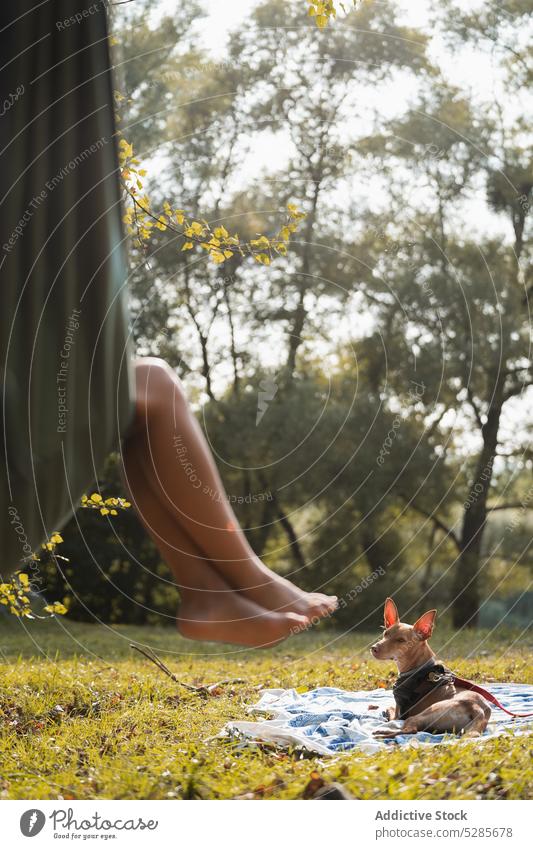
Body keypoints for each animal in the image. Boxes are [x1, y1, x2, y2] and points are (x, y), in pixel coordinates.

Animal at [370, 596, 486, 736]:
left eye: (401, 640)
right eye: (385, 634)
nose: (373, 648)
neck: (418, 668)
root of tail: (476, 708)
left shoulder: (399, 713)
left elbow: (390, 708)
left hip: (421, 714)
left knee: (411, 730)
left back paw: (382, 732)